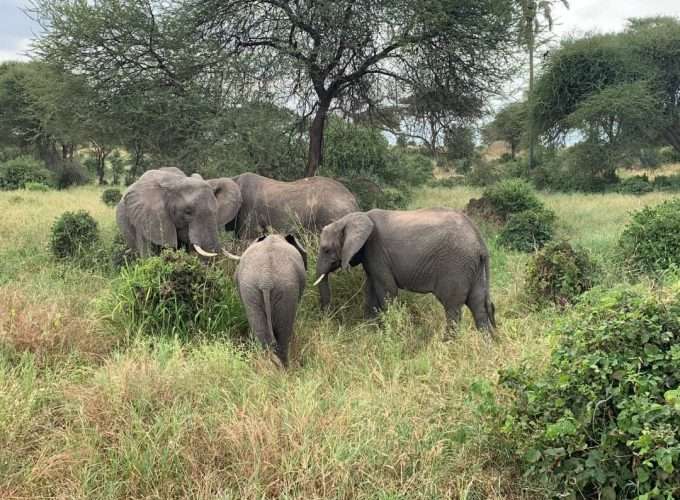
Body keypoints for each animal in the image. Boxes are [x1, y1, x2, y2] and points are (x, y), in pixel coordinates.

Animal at [316, 207, 496, 332]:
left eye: (326, 249)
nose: (328, 321)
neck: (353, 217)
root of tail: (480, 242)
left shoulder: (377, 251)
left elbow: (387, 291)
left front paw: (391, 331)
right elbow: (370, 289)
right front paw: (369, 331)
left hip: (456, 265)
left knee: (452, 307)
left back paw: (448, 344)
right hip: (474, 267)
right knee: (478, 305)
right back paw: (486, 346)